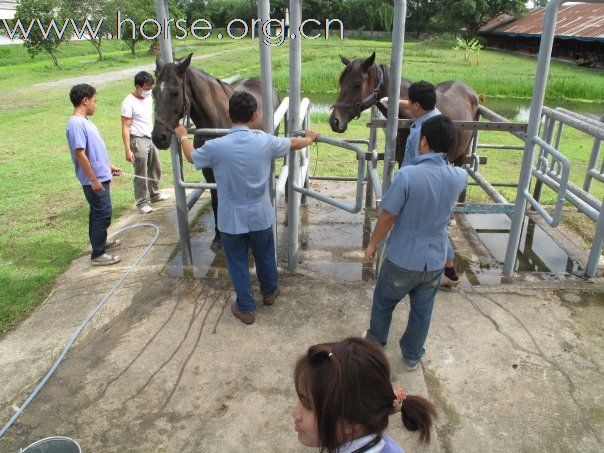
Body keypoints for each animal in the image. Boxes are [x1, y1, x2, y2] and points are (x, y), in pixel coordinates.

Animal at [153, 54, 280, 249]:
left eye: (175, 92)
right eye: (153, 92)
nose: (158, 137)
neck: (216, 121)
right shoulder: (209, 170)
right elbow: (216, 200)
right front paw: (218, 237)